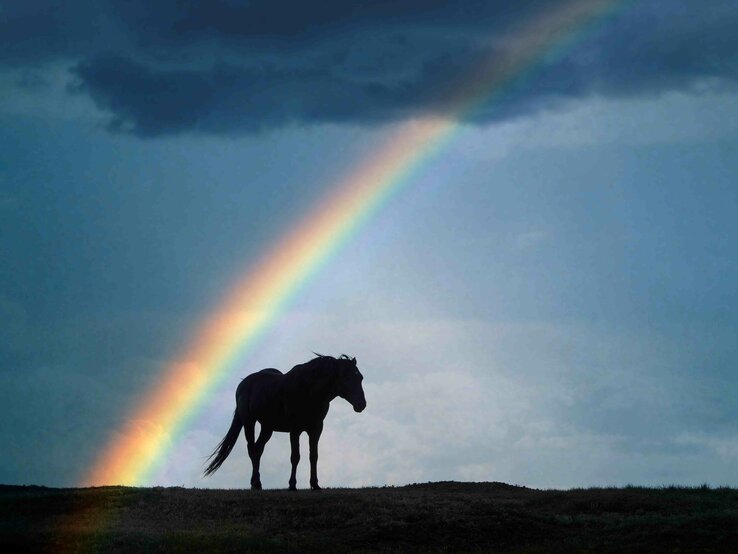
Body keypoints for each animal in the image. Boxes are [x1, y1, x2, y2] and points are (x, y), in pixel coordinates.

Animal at [201, 354, 366, 488]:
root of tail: (243, 383)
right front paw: (292, 485)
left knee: (258, 449)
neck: (309, 391)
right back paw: (256, 482)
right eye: (347, 377)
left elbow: (314, 456)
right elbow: (295, 456)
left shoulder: (316, 429)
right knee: (252, 448)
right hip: (249, 422)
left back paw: (258, 482)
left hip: (267, 428)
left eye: (360, 377)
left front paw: (315, 484)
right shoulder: (295, 430)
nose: (361, 404)